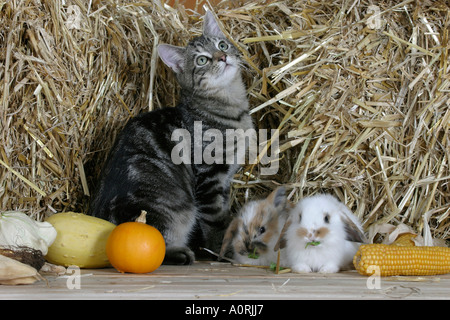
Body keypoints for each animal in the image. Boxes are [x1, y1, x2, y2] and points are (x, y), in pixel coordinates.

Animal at [88, 11, 253, 264]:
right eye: (202, 60)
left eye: (222, 45)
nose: (223, 56)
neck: (230, 106)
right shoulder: (209, 178)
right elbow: (215, 222)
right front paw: (223, 250)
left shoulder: (224, 181)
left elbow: (224, 214)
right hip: (167, 210)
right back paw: (181, 254)